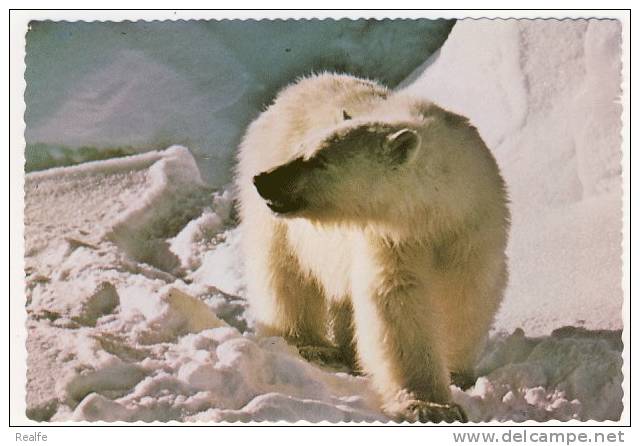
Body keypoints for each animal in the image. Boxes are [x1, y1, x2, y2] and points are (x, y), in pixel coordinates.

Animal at [235, 73, 510, 422]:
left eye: (320, 159)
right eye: (302, 148)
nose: (266, 180)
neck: (434, 208)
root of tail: (287, 94)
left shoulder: (471, 226)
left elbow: (467, 292)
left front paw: (457, 375)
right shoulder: (390, 237)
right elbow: (395, 299)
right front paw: (429, 405)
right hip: (276, 220)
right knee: (283, 273)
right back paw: (311, 346)